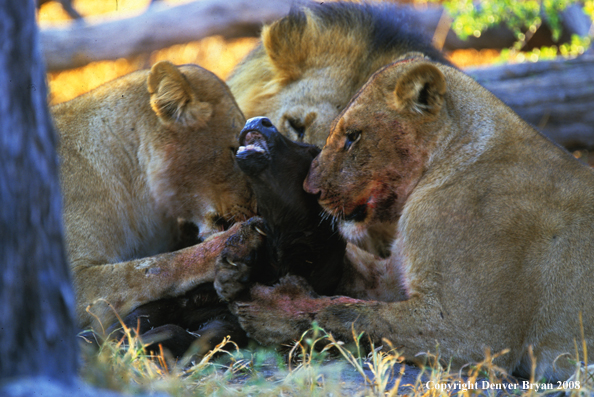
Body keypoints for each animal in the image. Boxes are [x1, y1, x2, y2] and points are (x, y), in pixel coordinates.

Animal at [215, 55, 592, 380]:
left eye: (353, 137)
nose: (312, 189)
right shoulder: (397, 276)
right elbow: (353, 284)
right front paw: (240, 257)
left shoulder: (476, 334)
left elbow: (348, 313)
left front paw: (274, 309)